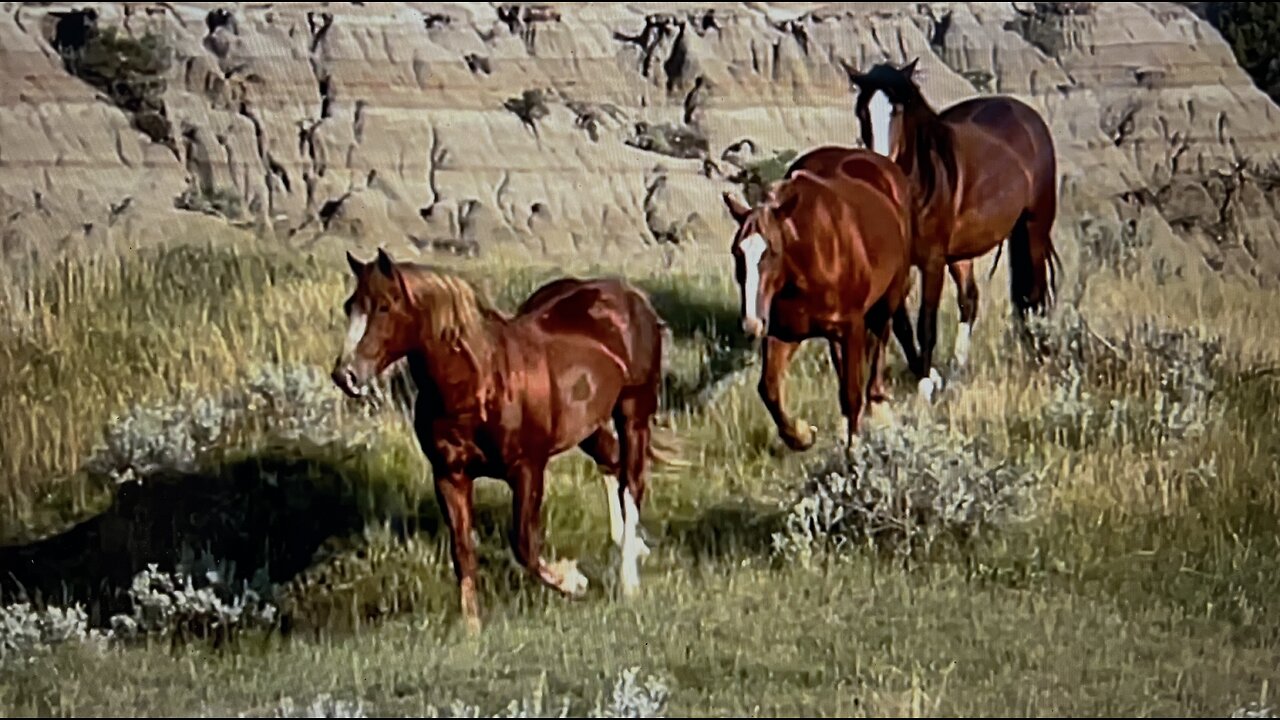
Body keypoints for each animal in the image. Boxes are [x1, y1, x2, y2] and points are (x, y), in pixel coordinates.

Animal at [335, 249, 686, 630]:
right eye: (349, 306)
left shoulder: (528, 469)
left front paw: (574, 581)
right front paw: (472, 627)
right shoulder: (449, 476)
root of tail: (632, 296)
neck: (481, 383)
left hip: (633, 412)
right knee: (612, 464)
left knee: (631, 483)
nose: (345, 375)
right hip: (589, 426)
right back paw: (630, 546)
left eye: (384, 306)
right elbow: (462, 549)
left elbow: (523, 545)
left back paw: (628, 582)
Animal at [721, 147, 921, 448]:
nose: (752, 323)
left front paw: (854, 452)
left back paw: (877, 400)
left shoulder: (851, 327)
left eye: (772, 252)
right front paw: (802, 434)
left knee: (882, 337)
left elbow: (852, 394)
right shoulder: (785, 332)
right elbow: (769, 389)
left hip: (889, 296)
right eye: (736, 252)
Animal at [839, 57, 1059, 397]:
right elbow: (902, 326)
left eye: (897, 109)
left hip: (1033, 227)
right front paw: (928, 374)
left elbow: (925, 324)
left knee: (1033, 295)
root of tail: (1028, 116)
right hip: (961, 254)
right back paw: (957, 370)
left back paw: (1039, 357)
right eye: (861, 111)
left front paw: (926, 384)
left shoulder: (932, 261)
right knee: (970, 300)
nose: (877, 167)